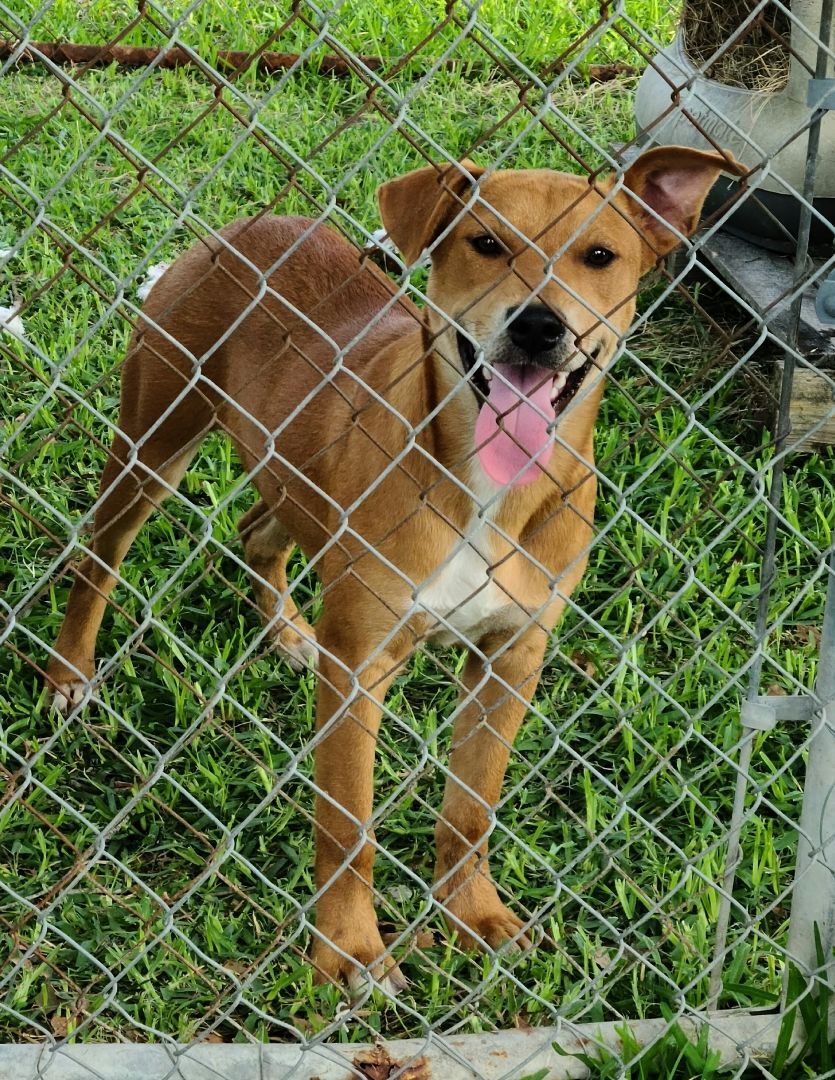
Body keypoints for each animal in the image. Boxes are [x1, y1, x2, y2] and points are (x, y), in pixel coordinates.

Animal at [44, 145, 734, 993]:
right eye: (484, 243)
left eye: (599, 256)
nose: (539, 326)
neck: (486, 488)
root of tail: (252, 224)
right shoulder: (359, 667)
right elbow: (347, 826)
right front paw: (349, 951)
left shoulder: (511, 657)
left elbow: (471, 806)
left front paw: (473, 914)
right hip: (153, 441)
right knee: (99, 559)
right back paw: (70, 674)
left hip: (287, 473)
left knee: (256, 532)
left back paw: (286, 631)